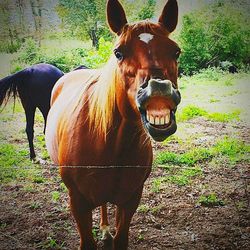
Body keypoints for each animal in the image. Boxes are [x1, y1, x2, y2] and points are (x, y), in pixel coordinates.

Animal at [45, 0, 180, 249]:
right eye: (118, 53)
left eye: (176, 51)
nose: (158, 90)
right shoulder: (78, 202)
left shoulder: (130, 199)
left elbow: (121, 239)